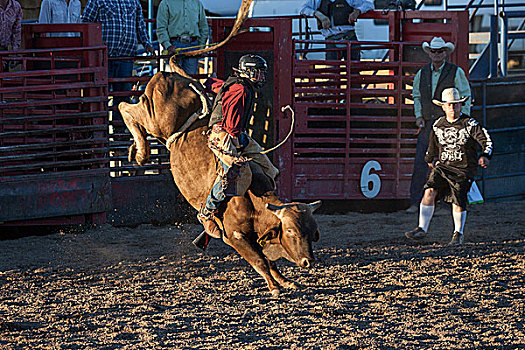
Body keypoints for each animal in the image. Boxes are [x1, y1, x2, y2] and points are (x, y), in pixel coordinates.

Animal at [118, 63, 322, 296]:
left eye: (312, 231)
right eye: (290, 231)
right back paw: (142, 152)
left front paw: (285, 281)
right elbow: (259, 261)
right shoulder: (234, 236)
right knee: (125, 107)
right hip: (156, 118)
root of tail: (171, 75)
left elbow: (269, 260)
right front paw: (274, 287)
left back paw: (136, 148)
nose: (308, 261)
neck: (252, 201)